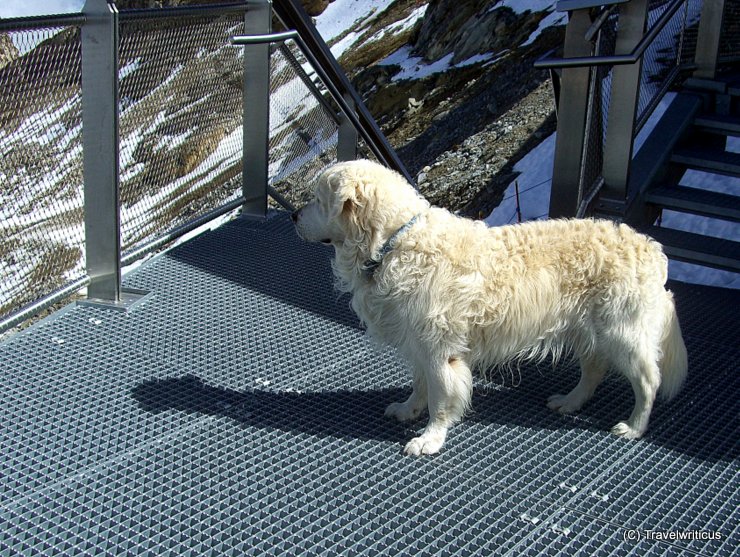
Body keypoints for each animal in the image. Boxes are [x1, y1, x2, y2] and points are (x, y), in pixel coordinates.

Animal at [292, 159, 692, 454]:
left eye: (316, 200)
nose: (294, 216)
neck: (394, 241)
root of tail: (651, 249)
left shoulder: (440, 351)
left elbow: (441, 396)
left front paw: (430, 438)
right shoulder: (417, 343)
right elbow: (420, 385)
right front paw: (408, 409)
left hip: (622, 333)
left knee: (648, 379)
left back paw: (634, 426)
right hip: (585, 329)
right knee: (594, 369)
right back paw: (570, 401)